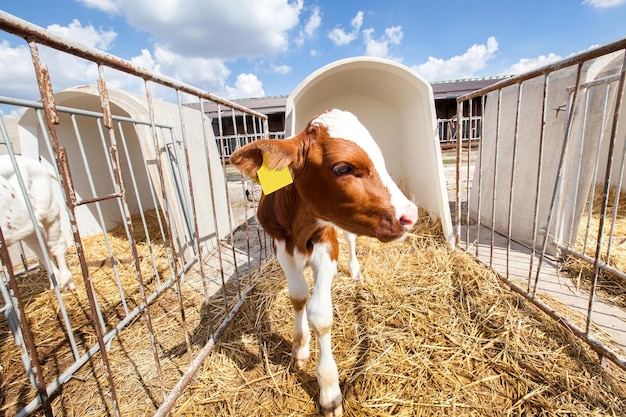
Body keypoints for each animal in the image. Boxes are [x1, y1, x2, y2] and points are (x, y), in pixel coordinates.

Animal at [0, 154, 75, 290]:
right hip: (27, 227)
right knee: (42, 250)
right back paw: (55, 282)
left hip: (49, 210)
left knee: (56, 244)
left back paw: (66, 282)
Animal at [228, 109, 414, 414]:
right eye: (343, 168)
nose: (411, 215)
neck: (301, 226)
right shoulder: (281, 248)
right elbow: (298, 296)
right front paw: (300, 348)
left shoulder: (328, 246)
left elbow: (320, 314)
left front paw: (329, 392)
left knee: (351, 239)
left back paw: (355, 271)